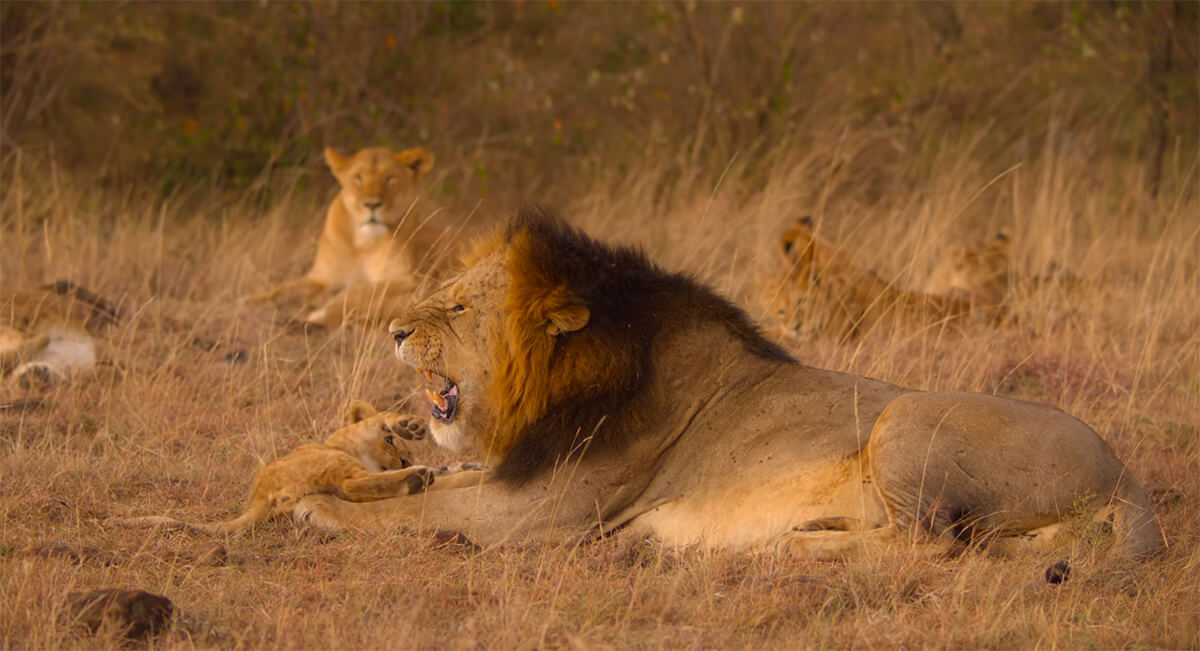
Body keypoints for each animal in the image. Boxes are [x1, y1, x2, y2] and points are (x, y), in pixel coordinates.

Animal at [111, 403, 487, 535]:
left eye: (403, 453)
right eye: (392, 445)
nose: (405, 462)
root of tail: (259, 497)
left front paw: (466, 465)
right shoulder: (347, 435)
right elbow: (377, 415)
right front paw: (408, 426)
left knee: (357, 486)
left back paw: (419, 476)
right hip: (331, 462)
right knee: (353, 485)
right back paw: (416, 478)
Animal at [253, 145, 441, 329]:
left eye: (390, 178)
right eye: (358, 177)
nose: (372, 204)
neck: (364, 243)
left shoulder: (412, 279)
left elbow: (356, 291)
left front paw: (321, 313)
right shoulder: (322, 278)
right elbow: (283, 289)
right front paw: (254, 302)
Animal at [297, 211, 1161, 564]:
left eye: (457, 307)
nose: (393, 331)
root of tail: (1127, 476)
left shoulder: (544, 514)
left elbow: (424, 512)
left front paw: (319, 509)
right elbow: (433, 484)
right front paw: (362, 480)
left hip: (905, 416)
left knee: (933, 544)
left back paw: (798, 544)